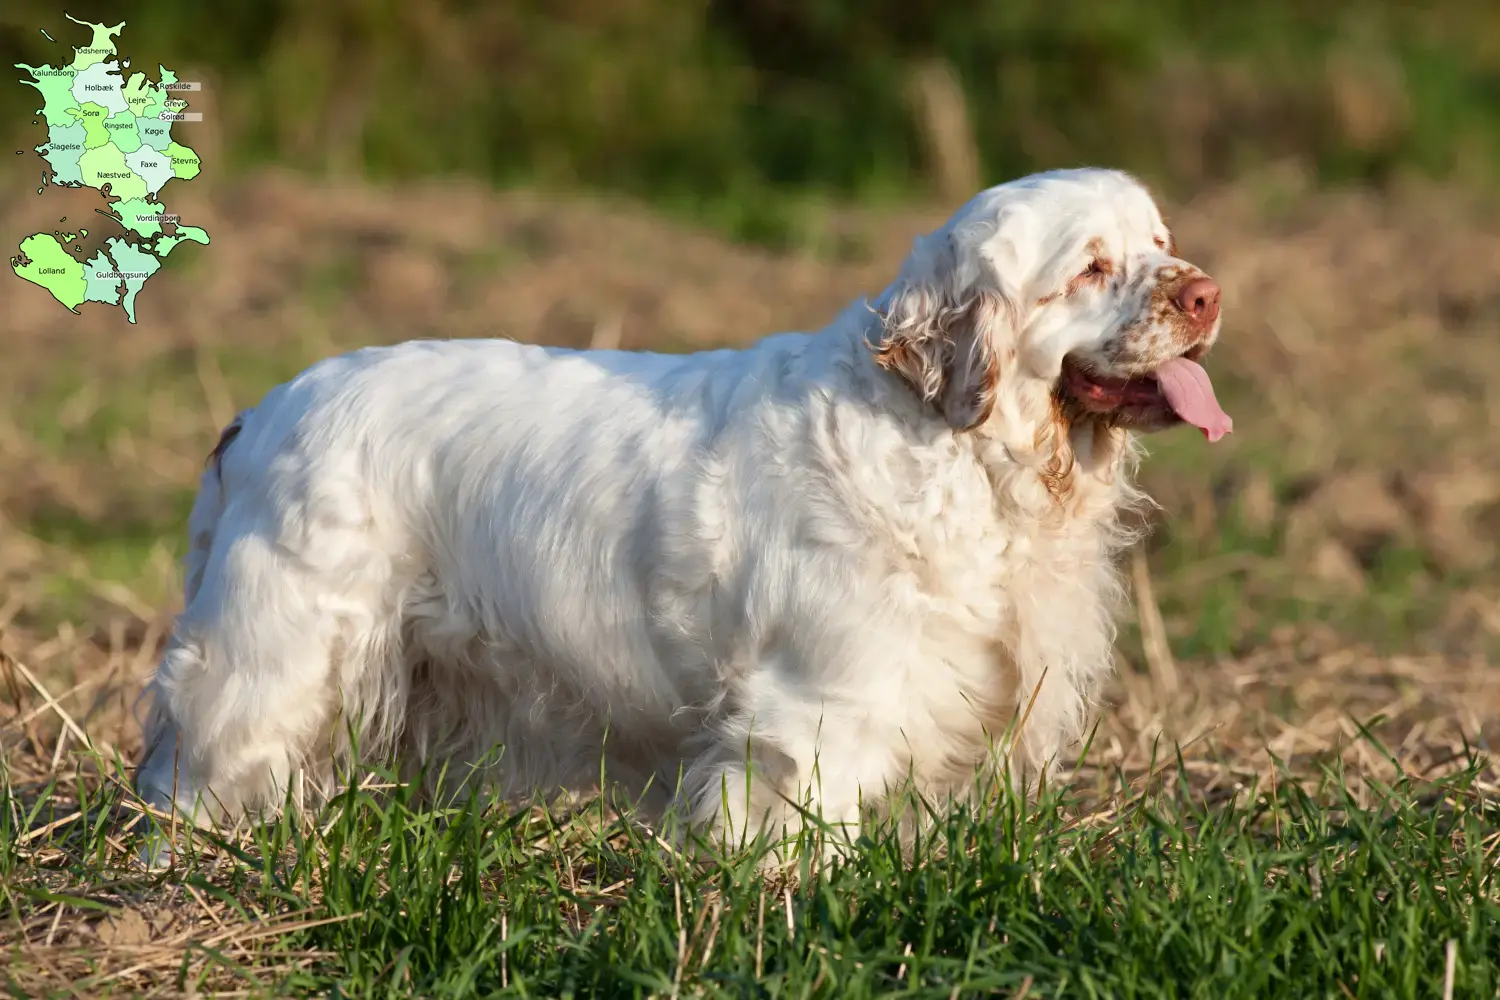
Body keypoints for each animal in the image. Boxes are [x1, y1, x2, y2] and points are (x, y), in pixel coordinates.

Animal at [135, 167, 1224, 863]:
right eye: (1090, 268)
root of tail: (260, 412)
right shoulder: (814, 710)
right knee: (195, 773)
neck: (962, 455)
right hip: (274, 660)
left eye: (1161, 246)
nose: (1209, 293)